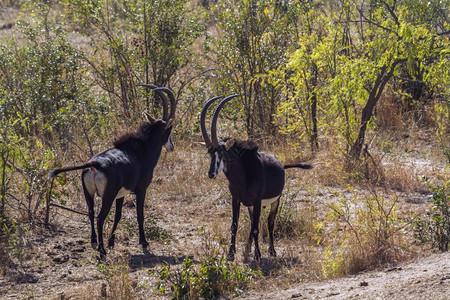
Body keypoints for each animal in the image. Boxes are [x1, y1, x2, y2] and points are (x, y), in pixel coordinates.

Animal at [48, 85, 176, 256]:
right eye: (169, 130)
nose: (171, 147)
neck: (142, 149)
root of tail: (95, 164)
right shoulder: (141, 189)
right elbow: (140, 215)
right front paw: (143, 242)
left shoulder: (120, 194)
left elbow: (118, 216)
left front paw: (111, 242)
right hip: (107, 196)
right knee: (100, 217)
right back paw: (101, 250)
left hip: (88, 193)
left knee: (91, 212)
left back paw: (94, 242)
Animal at [201, 95, 312, 262]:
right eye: (209, 153)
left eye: (221, 152)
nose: (211, 174)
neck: (243, 176)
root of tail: (281, 164)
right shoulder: (237, 199)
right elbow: (235, 225)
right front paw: (231, 254)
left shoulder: (258, 201)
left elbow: (255, 228)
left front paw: (258, 255)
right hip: (251, 206)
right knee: (255, 223)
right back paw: (247, 251)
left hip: (274, 201)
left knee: (269, 223)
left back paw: (271, 251)